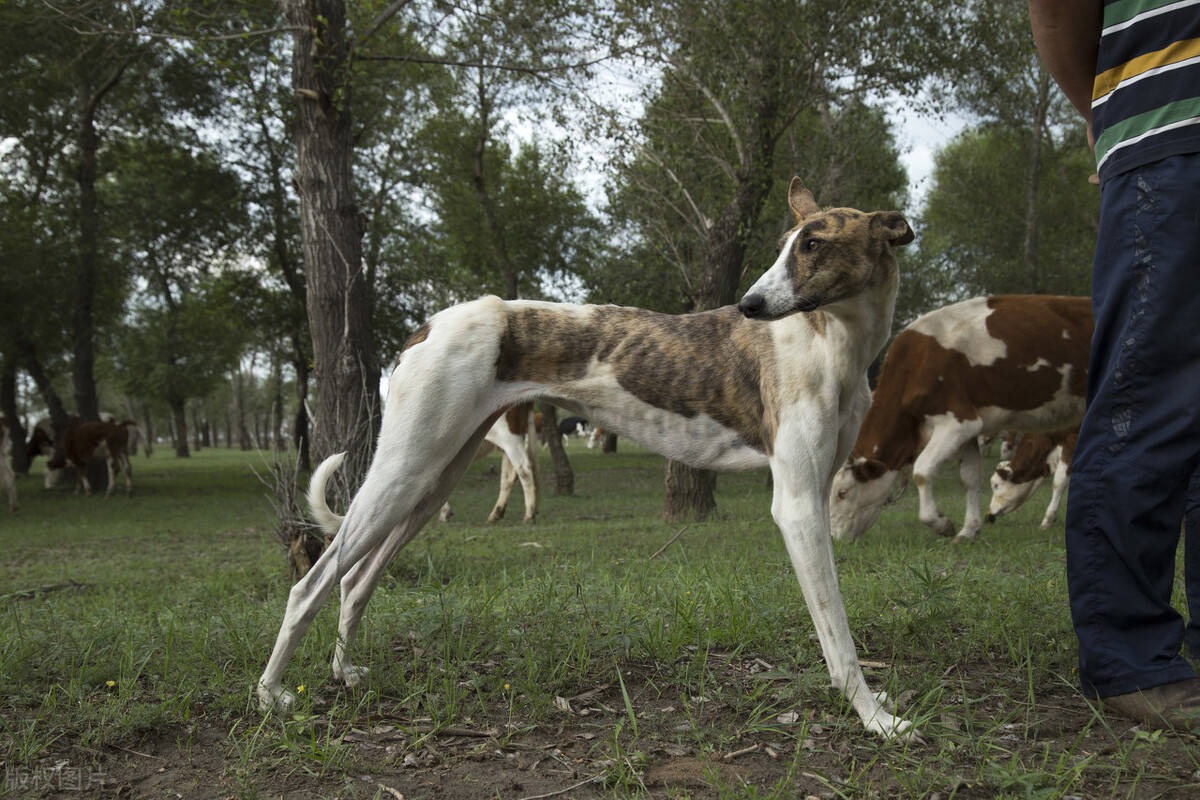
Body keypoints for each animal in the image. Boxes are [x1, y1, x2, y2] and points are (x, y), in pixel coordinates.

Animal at [258, 178, 916, 743]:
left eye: (813, 243)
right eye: (786, 244)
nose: (749, 305)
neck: (832, 341)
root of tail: (429, 325)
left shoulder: (818, 491)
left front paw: (875, 710)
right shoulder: (797, 506)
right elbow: (837, 634)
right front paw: (876, 719)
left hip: (430, 484)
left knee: (354, 583)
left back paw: (345, 674)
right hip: (403, 474)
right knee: (310, 585)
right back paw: (270, 696)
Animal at [830, 293, 1094, 544]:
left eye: (842, 493)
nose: (835, 538)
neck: (917, 363)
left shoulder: (957, 423)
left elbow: (922, 471)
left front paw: (941, 524)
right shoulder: (968, 433)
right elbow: (970, 479)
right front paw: (969, 530)